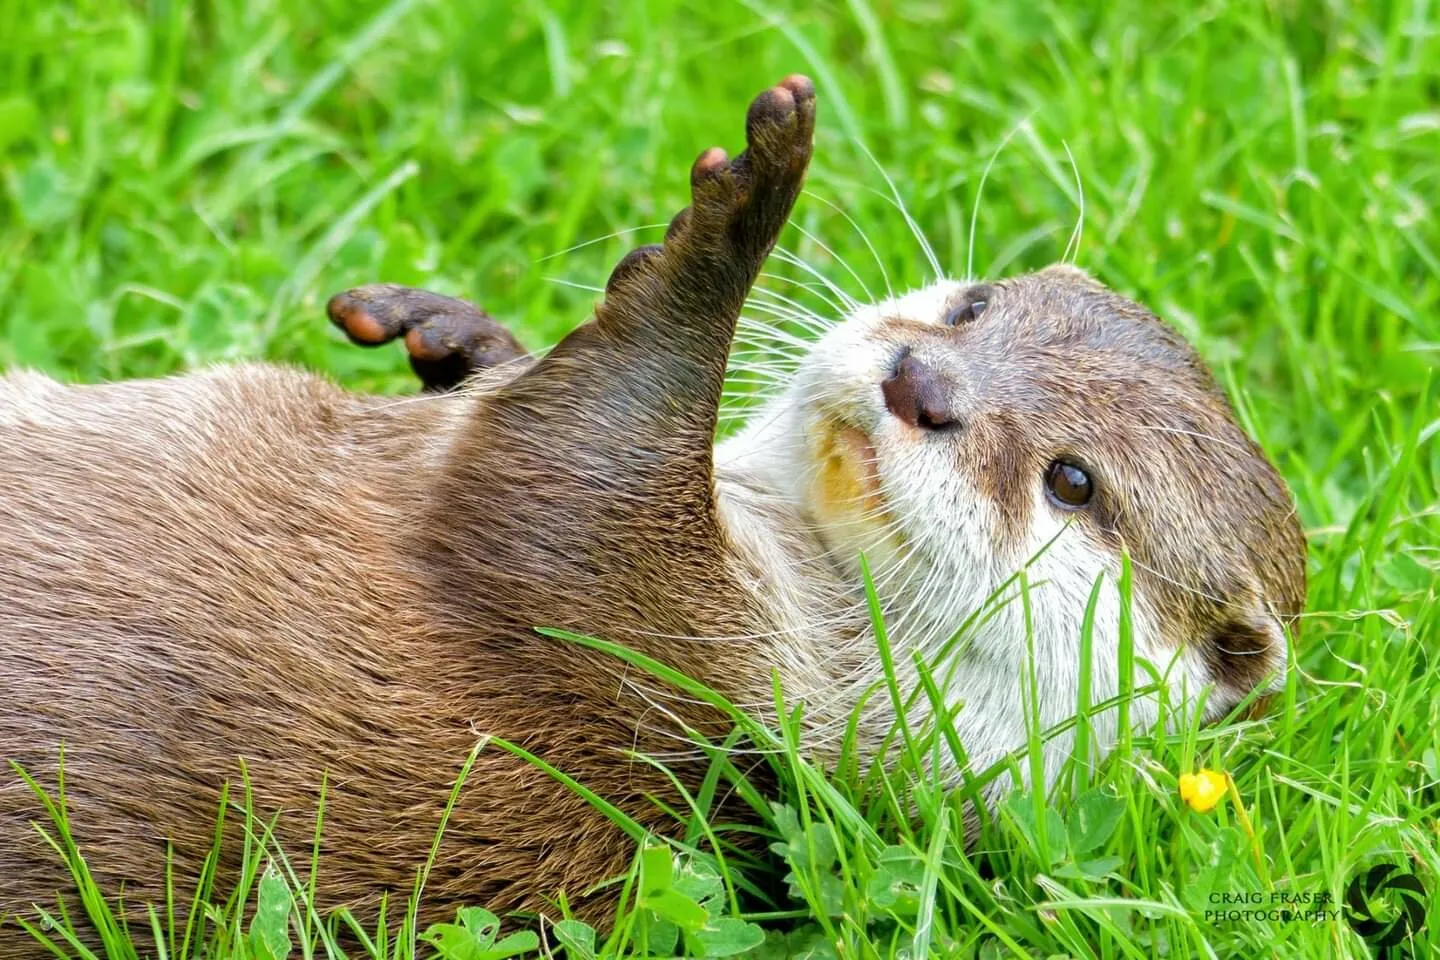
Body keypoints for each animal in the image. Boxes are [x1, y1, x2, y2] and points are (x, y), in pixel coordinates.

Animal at [0, 75, 1305, 950]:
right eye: (972, 306)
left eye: (1073, 482)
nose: (921, 383)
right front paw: (451, 336)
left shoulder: (634, 636)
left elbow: (591, 441)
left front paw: (744, 204)